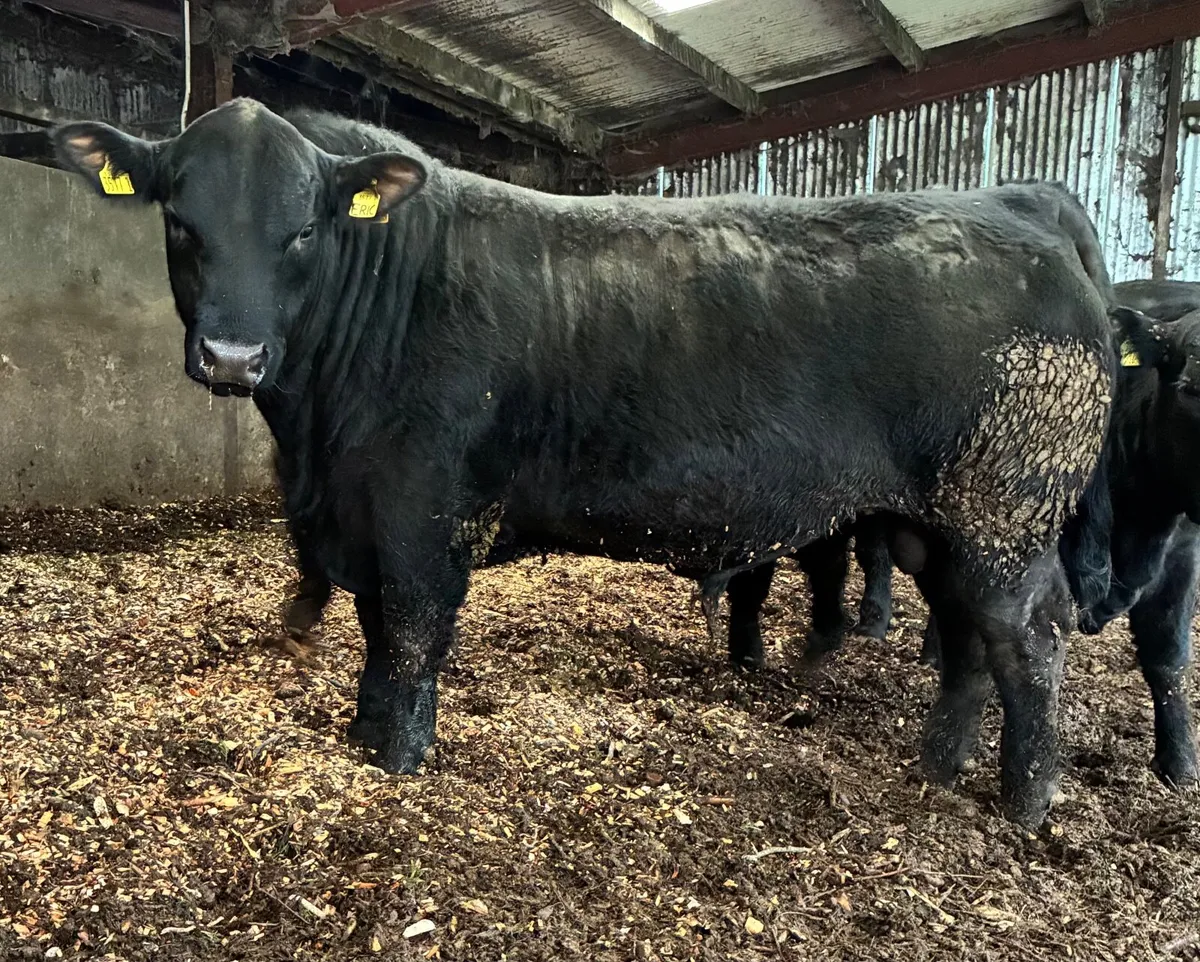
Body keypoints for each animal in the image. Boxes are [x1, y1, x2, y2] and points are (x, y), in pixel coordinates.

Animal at [53, 99, 1117, 828]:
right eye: (181, 222)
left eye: (304, 230)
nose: (233, 357)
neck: (319, 438)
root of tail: (1018, 204)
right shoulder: (363, 512)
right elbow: (373, 632)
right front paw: (362, 738)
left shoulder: (424, 510)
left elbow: (409, 638)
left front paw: (394, 758)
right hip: (937, 524)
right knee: (968, 639)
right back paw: (939, 766)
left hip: (1005, 512)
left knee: (1028, 642)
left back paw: (1025, 803)